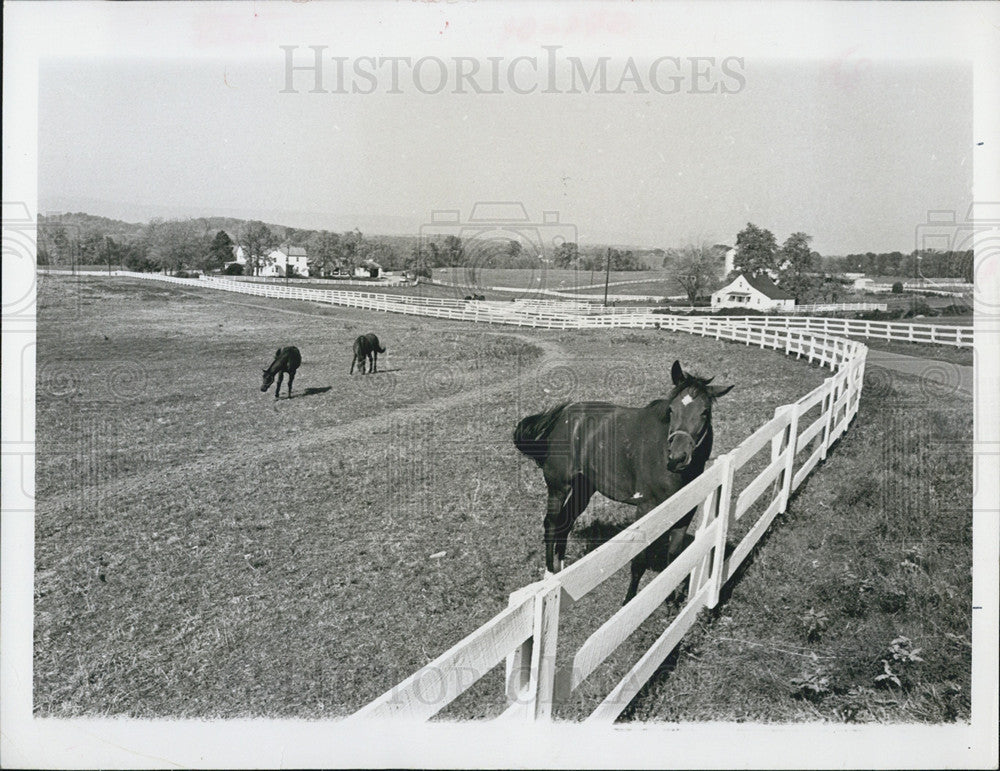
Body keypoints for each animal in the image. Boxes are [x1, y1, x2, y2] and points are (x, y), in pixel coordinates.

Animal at [516, 358, 736, 608]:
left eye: (705, 412)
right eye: (671, 409)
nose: (677, 457)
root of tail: (564, 414)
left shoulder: (685, 513)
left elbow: (674, 557)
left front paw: (671, 603)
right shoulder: (645, 509)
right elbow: (639, 561)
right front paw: (630, 601)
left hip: (584, 487)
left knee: (566, 521)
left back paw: (562, 573)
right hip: (558, 486)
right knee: (552, 523)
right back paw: (549, 575)